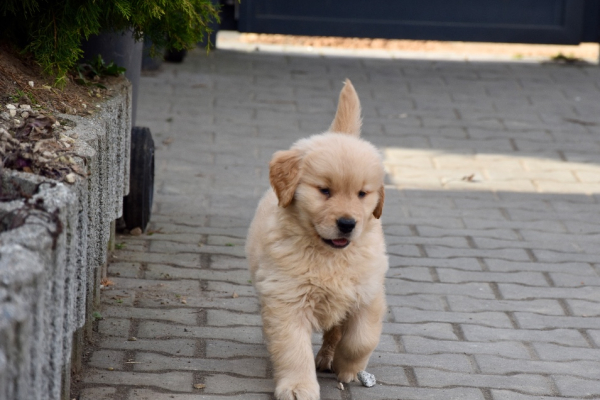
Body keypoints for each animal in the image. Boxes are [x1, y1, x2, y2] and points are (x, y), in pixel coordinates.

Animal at [246, 79, 386, 400]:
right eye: (324, 191)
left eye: (362, 193)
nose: (347, 224)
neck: (329, 255)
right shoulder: (287, 299)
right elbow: (293, 349)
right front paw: (299, 386)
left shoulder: (369, 293)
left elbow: (361, 339)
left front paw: (347, 367)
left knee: (336, 332)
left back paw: (328, 357)